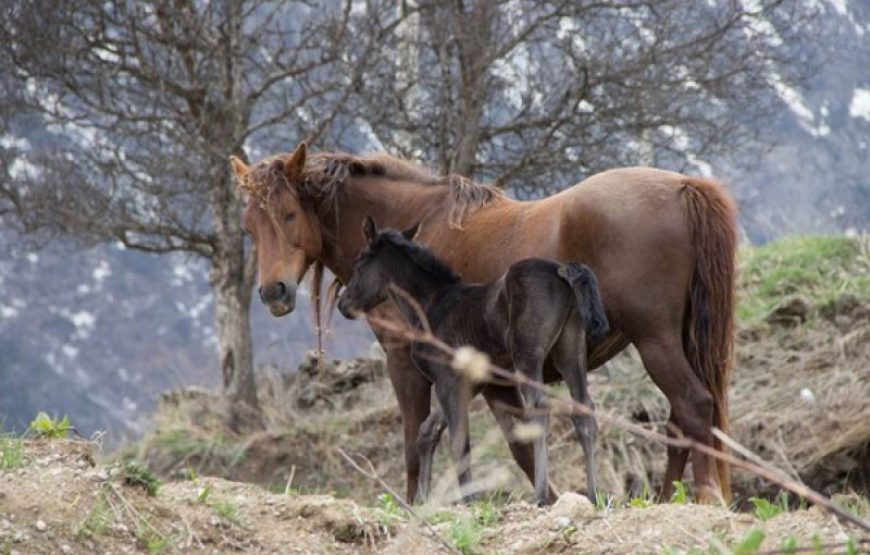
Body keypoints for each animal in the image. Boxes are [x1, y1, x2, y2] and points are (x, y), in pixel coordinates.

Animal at [338, 218, 608, 508]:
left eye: (359, 266)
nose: (343, 304)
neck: (430, 304)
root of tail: (560, 270)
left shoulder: (446, 380)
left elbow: (458, 442)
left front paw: (468, 501)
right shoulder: (470, 383)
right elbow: (428, 431)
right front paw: (423, 501)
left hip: (527, 356)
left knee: (539, 410)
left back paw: (540, 497)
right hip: (570, 350)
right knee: (584, 413)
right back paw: (593, 495)